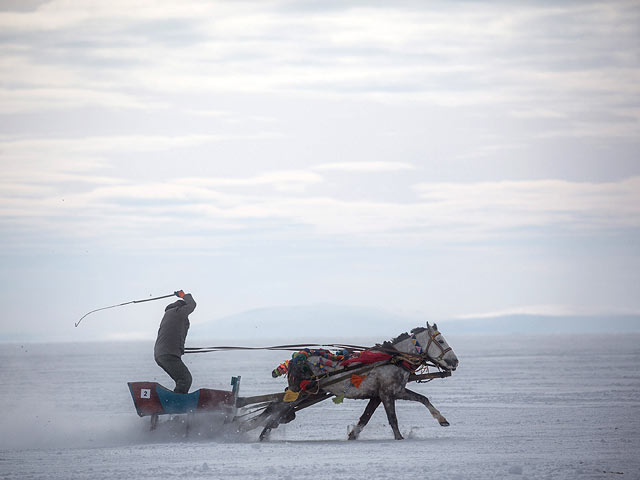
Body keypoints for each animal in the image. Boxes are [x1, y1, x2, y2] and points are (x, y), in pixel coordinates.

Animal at [239, 320, 456, 440]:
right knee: (276, 410)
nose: (455, 361)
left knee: (276, 410)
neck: (393, 359)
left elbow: (366, 417)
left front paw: (442, 420)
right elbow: (393, 417)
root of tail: (296, 358)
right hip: (300, 391)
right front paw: (399, 437)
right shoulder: (390, 392)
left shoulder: (379, 394)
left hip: (307, 392)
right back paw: (258, 433)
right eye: (441, 340)